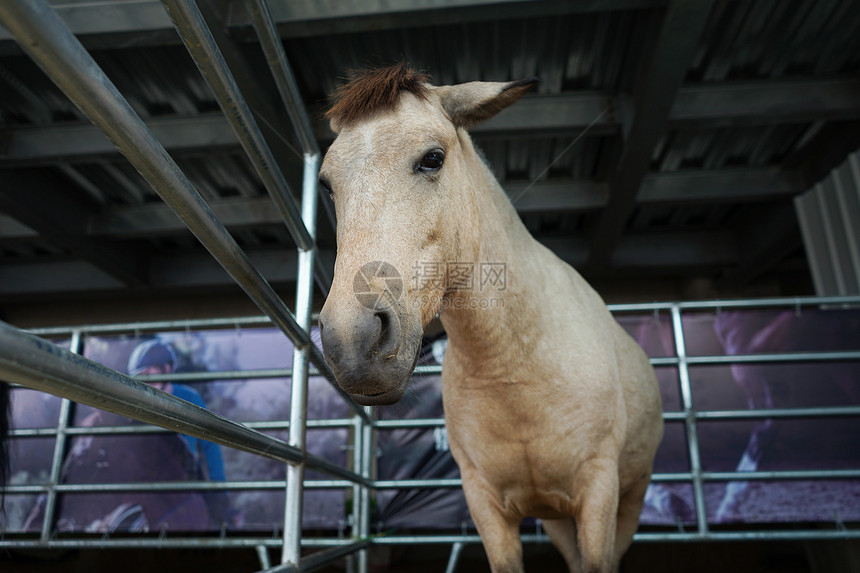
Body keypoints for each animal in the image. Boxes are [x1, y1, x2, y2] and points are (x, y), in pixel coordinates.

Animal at [320, 63, 660, 572]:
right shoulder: (486, 505)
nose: (352, 341)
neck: (515, 365)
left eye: (433, 159)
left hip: (629, 501)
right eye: (326, 184)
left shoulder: (598, 493)